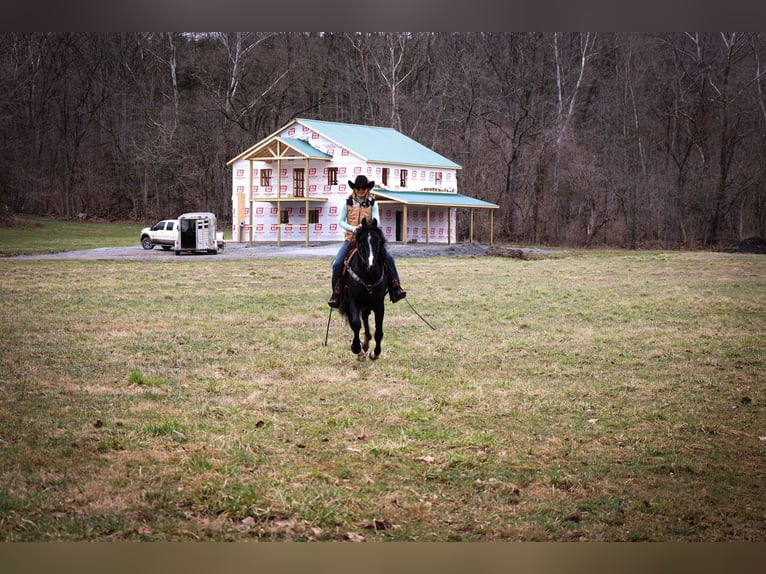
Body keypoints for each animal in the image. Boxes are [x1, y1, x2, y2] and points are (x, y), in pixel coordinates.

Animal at [340, 218, 390, 362]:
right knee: (356, 321)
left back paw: (366, 343)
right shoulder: (353, 300)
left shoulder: (379, 303)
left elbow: (379, 331)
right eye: (362, 240)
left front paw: (375, 353)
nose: (371, 264)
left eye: (377, 240)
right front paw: (356, 348)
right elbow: (356, 324)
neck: (369, 275)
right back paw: (361, 349)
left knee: (365, 317)